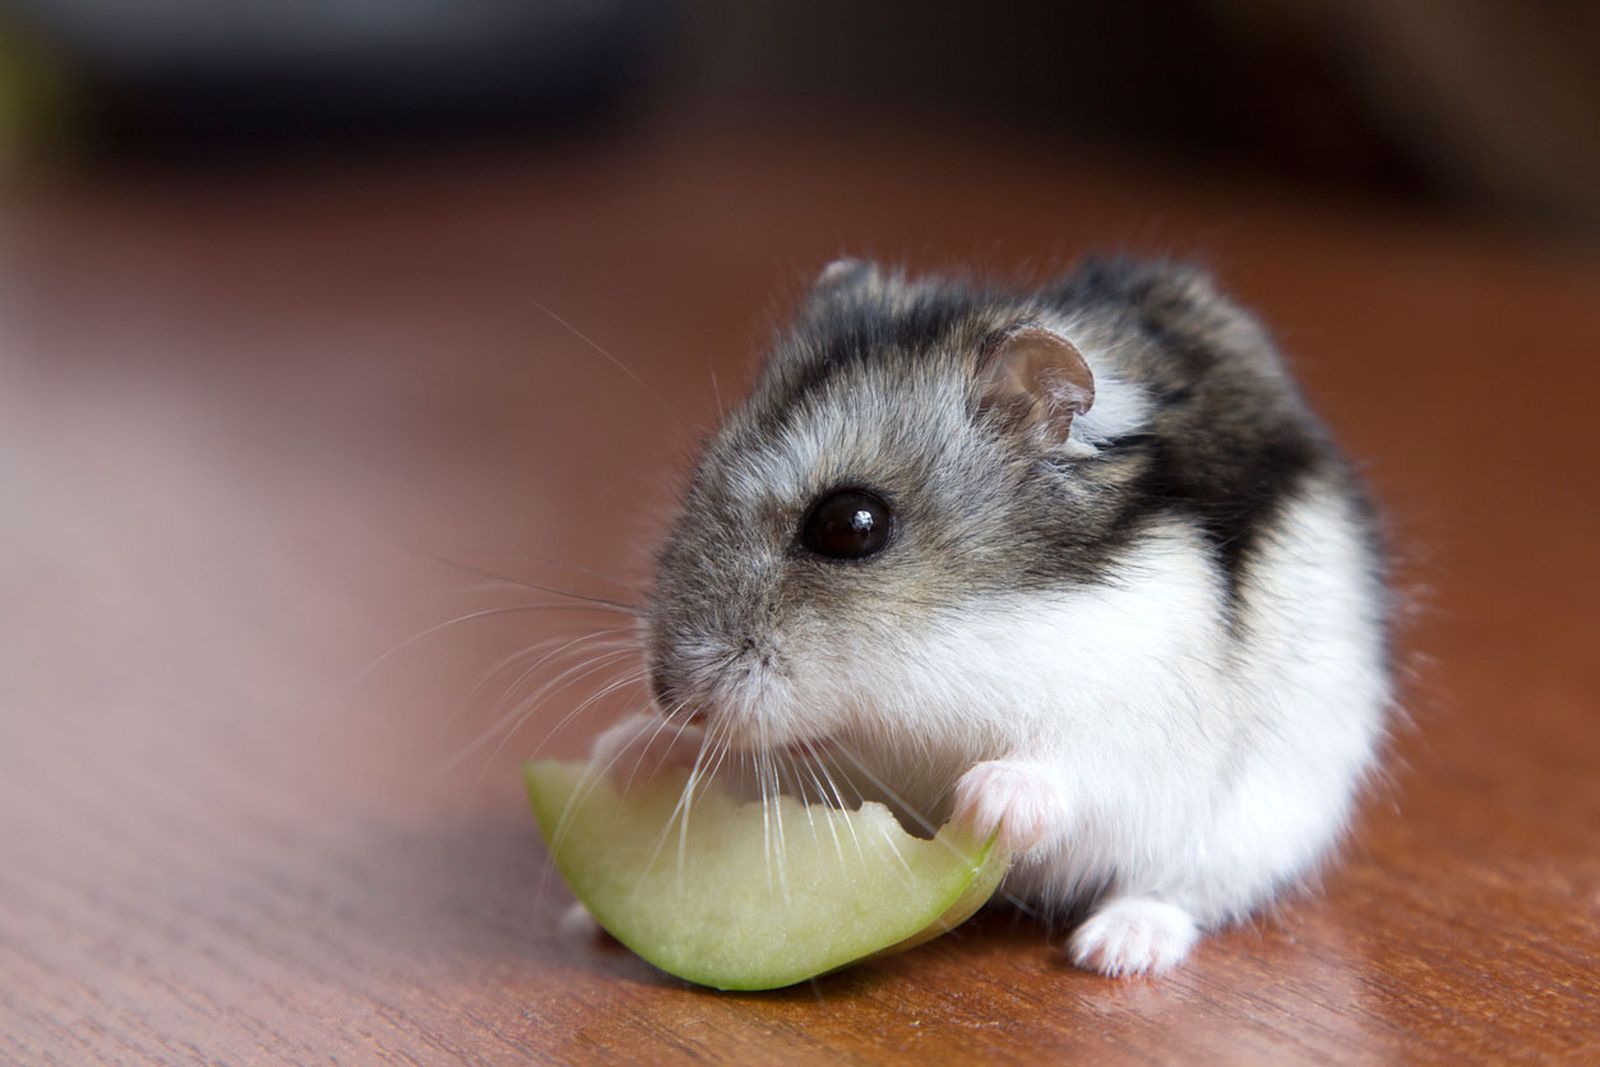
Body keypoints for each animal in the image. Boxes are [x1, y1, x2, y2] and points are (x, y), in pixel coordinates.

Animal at [590, 257, 1393, 978]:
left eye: (852, 524)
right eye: (702, 473)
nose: (671, 698)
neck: (956, 646)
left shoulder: (1133, 719)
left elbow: (1072, 771)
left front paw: (984, 798)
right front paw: (625, 750)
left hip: (1264, 819)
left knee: (1184, 891)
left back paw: (1114, 949)